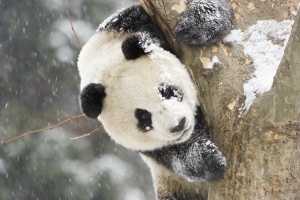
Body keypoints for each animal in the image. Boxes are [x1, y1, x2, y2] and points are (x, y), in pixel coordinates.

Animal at [77, 0, 232, 199]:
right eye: (144, 118)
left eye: (166, 91)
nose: (179, 125)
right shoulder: (151, 150)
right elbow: (175, 155)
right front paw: (206, 158)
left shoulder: (132, 23)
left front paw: (198, 25)